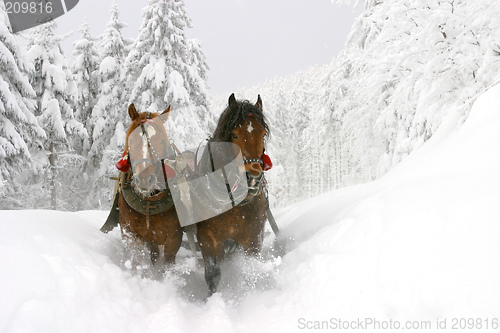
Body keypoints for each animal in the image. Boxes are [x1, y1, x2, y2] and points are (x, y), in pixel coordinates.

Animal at [116, 104, 183, 270]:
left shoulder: (174, 237)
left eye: (161, 141)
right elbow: (136, 260)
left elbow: (167, 264)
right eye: (132, 140)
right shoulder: (130, 232)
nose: (145, 178)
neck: (149, 202)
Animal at [195, 93, 270, 296]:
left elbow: (251, 270)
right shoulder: (207, 237)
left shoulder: (253, 239)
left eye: (263, 134)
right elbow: (213, 274)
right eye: (234, 134)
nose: (253, 178)